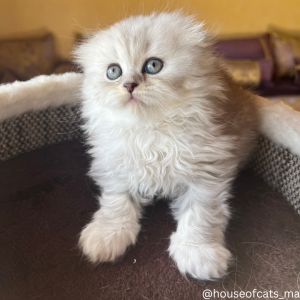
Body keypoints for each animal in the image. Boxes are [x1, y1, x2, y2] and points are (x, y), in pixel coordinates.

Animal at [74, 11, 258, 278]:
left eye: (153, 66)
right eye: (114, 72)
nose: (129, 85)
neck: (150, 132)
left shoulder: (208, 173)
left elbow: (200, 217)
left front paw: (198, 253)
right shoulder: (115, 168)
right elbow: (116, 205)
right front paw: (107, 235)